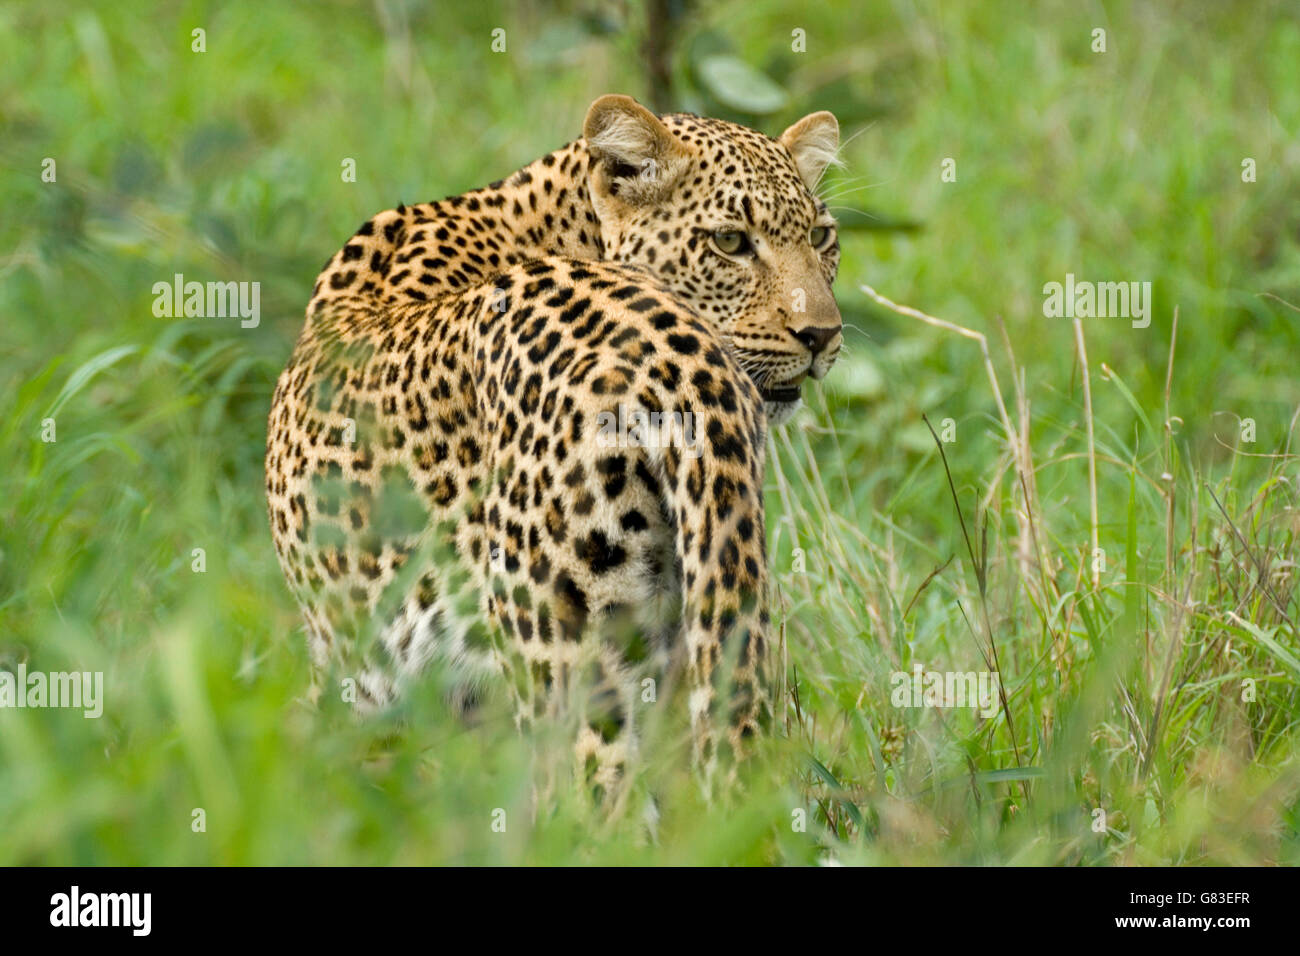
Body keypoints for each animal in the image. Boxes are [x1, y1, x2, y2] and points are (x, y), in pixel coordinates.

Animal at [266, 95, 842, 801]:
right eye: (730, 242)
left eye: (821, 239)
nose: (823, 334)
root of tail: (679, 357)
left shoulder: (367, 678)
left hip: (563, 659)